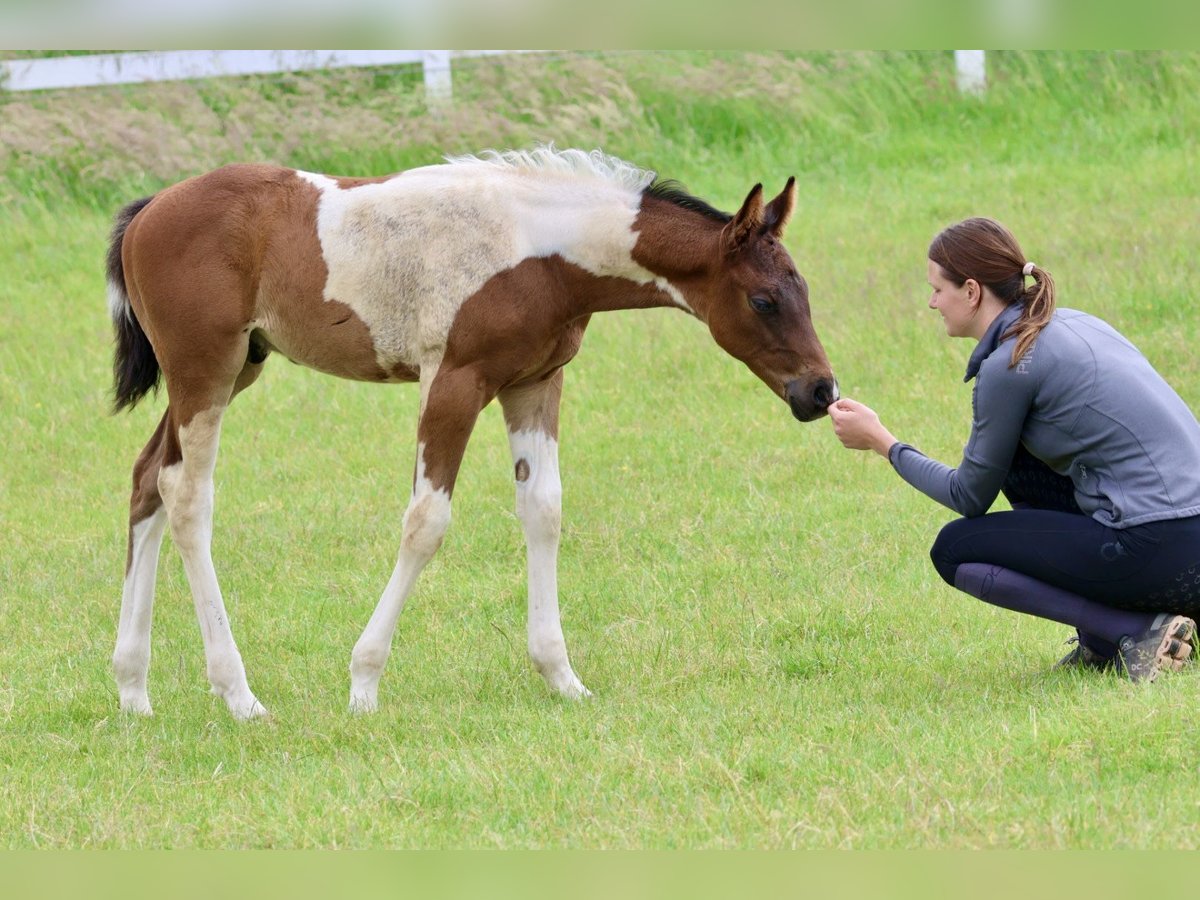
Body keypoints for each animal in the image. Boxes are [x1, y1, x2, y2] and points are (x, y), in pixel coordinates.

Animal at [110, 148, 835, 724]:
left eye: (803, 290)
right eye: (764, 300)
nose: (821, 393)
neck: (541, 249)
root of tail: (145, 214)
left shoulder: (535, 383)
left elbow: (543, 510)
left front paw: (562, 677)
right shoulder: (453, 381)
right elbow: (426, 522)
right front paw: (364, 683)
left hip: (239, 368)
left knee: (147, 479)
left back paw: (133, 690)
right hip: (206, 371)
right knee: (187, 496)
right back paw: (238, 695)